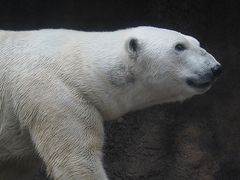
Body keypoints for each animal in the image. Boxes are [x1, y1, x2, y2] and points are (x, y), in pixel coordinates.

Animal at [0, 26, 222, 179]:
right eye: (179, 46)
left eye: (197, 42)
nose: (215, 68)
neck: (80, 65)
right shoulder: (57, 97)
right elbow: (77, 160)